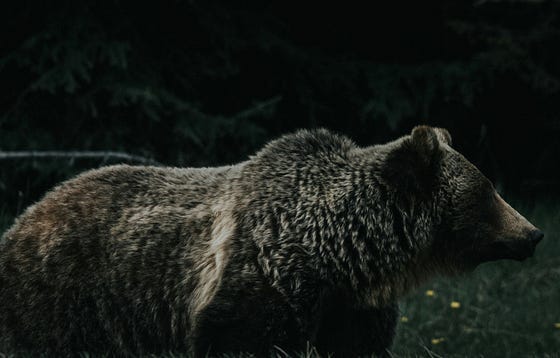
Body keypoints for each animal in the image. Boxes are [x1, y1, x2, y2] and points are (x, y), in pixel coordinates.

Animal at [0, 125, 544, 356]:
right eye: (488, 191)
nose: (534, 233)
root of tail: (26, 214)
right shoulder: (262, 276)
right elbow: (242, 337)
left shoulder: (351, 308)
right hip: (69, 296)